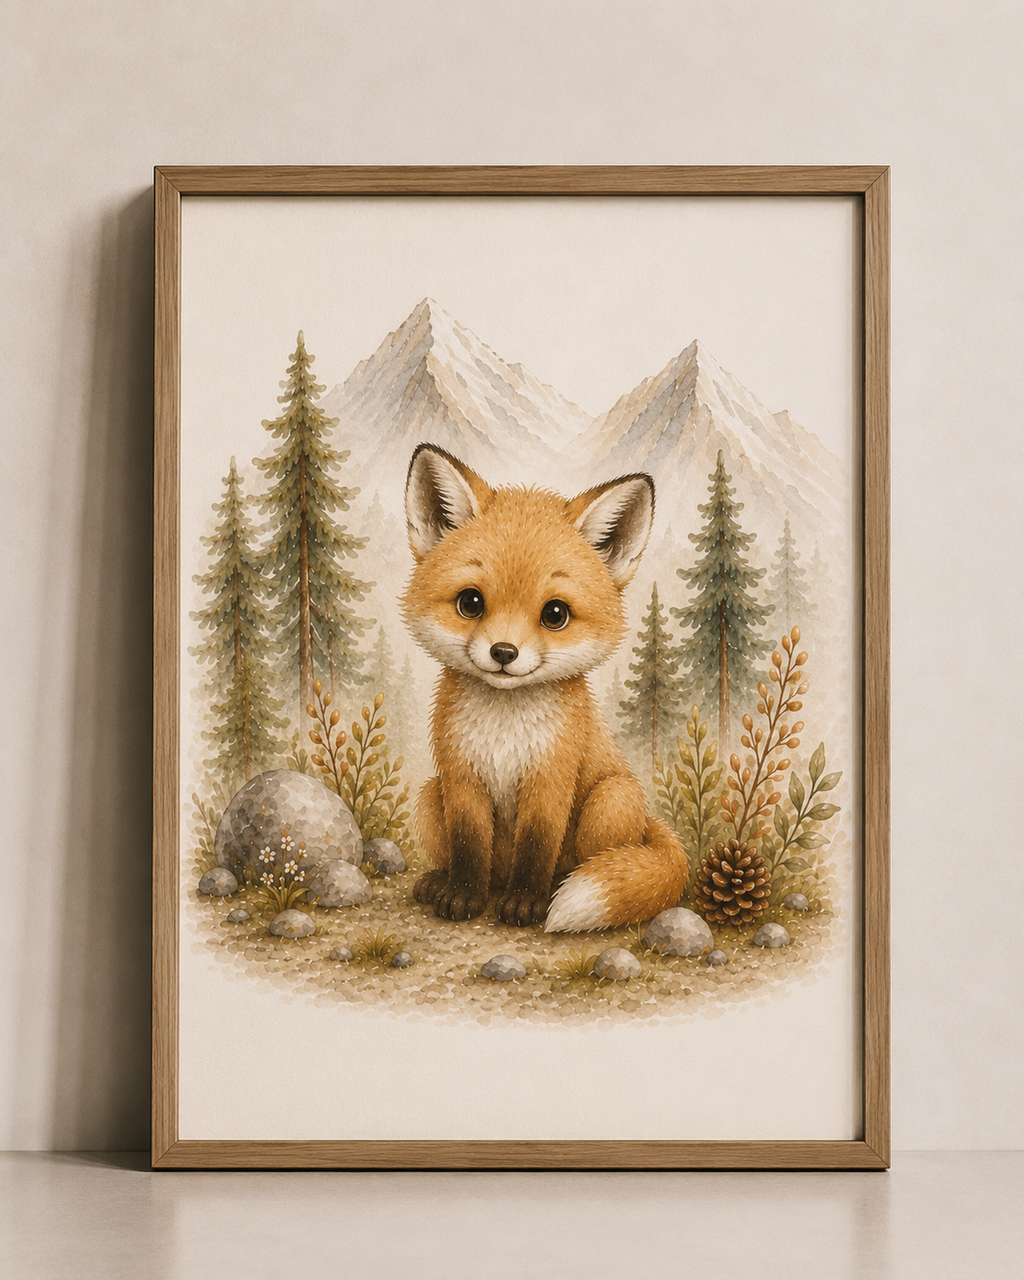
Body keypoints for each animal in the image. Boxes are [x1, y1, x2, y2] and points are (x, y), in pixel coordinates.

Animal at [400, 442, 689, 932]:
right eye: (470, 603)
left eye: (555, 614)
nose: (503, 652)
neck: (504, 729)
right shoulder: (460, 776)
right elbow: (468, 845)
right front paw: (462, 894)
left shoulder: (551, 777)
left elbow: (537, 844)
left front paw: (525, 901)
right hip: (427, 798)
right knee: (483, 864)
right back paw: (442, 881)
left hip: (612, 800)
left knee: (586, 858)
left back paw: (554, 886)